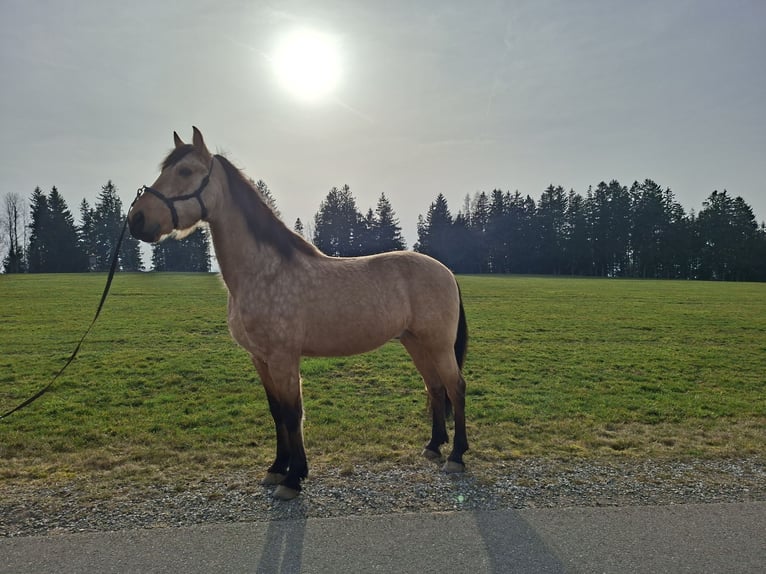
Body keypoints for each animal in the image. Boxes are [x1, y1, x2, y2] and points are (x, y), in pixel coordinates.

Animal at [128, 127, 469, 500]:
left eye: (185, 171)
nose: (136, 219)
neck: (263, 272)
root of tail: (445, 271)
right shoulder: (260, 359)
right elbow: (277, 412)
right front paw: (277, 469)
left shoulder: (283, 358)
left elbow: (293, 414)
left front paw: (293, 479)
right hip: (415, 343)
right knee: (434, 387)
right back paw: (434, 447)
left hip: (437, 345)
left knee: (455, 388)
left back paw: (457, 457)